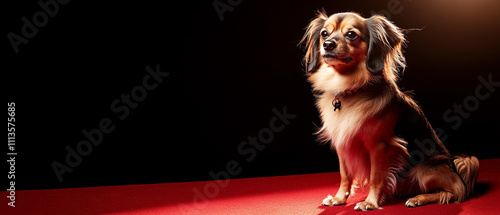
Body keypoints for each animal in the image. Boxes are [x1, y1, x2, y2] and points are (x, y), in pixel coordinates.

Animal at [298, 10, 478, 211]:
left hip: (425, 168)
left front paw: (370, 202)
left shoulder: (380, 146)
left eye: (351, 35)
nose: (328, 44)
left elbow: (376, 177)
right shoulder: (343, 144)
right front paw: (339, 198)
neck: (351, 88)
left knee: (455, 192)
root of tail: (455, 166)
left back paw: (419, 198)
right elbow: (345, 174)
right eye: (324, 34)